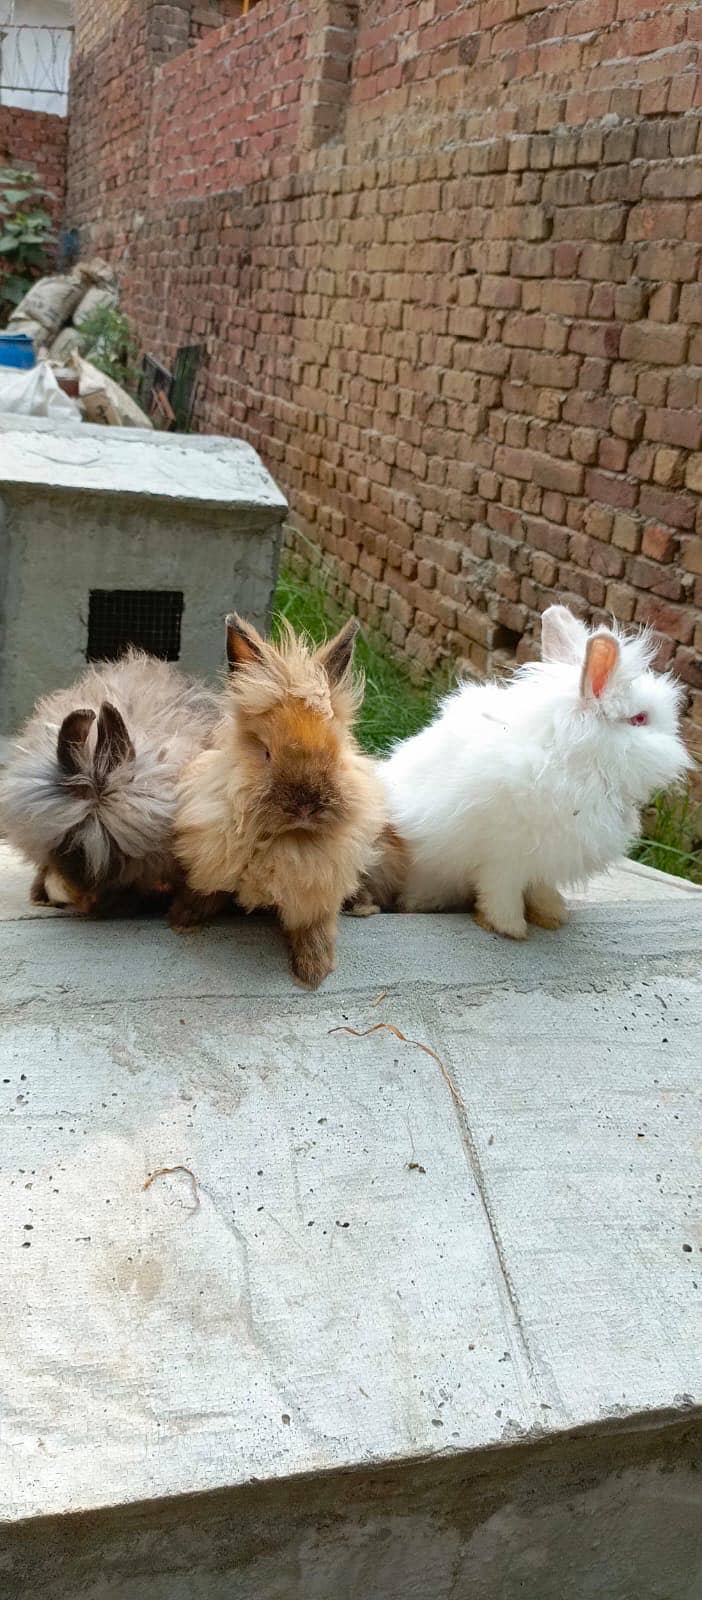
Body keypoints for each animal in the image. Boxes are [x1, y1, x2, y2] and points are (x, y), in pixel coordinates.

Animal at [172, 612, 387, 988]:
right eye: (267, 753)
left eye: (335, 751)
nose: (305, 806)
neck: (286, 840)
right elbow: (206, 890)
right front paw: (181, 919)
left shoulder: (319, 892)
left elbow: (313, 927)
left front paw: (314, 971)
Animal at [363, 604, 691, 939]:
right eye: (639, 719)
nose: (679, 754)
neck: (573, 760)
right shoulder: (503, 857)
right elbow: (499, 892)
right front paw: (510, 929)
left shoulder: (545, 858)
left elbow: (540, 889)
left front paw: (553, 915)